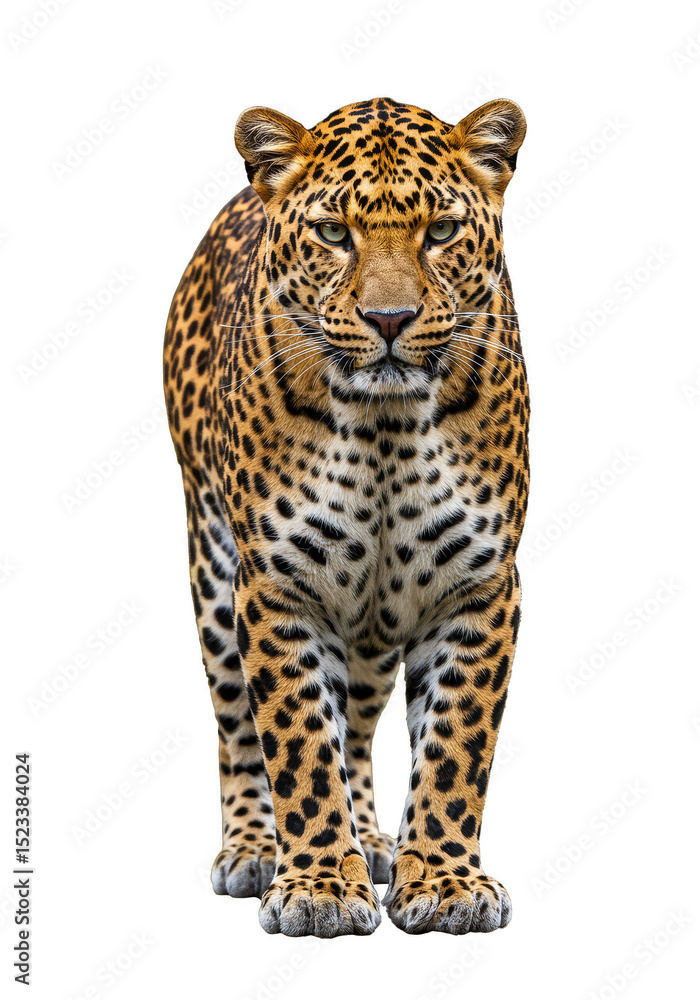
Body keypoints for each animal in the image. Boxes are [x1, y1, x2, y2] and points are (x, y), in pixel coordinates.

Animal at [163, 95, 529, 937]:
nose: (389, 318)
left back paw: (372, 840)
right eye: (334, 233)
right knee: (239, 725)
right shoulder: (279, 588)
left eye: (440, 230)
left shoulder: (480, 586)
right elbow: (298, 744)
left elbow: (456, 744)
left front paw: (446, 882)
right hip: (214, 572)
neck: (386, 423)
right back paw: (255, 847)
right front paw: (320, 886)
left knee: (356, 724)